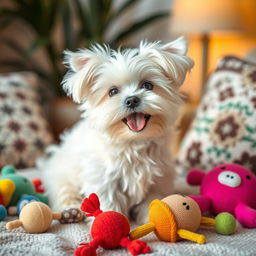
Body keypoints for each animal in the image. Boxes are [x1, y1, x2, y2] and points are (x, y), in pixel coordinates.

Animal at [40, 36, 193, 224]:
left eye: (148, 85)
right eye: (112, 91)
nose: (132, 100)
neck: (133, 143)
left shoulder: (158, 182)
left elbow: (151, 203)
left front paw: (152, 222)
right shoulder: (103, 180)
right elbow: (108, 203)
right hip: (63, 174)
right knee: (64, 192)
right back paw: (72, 211)